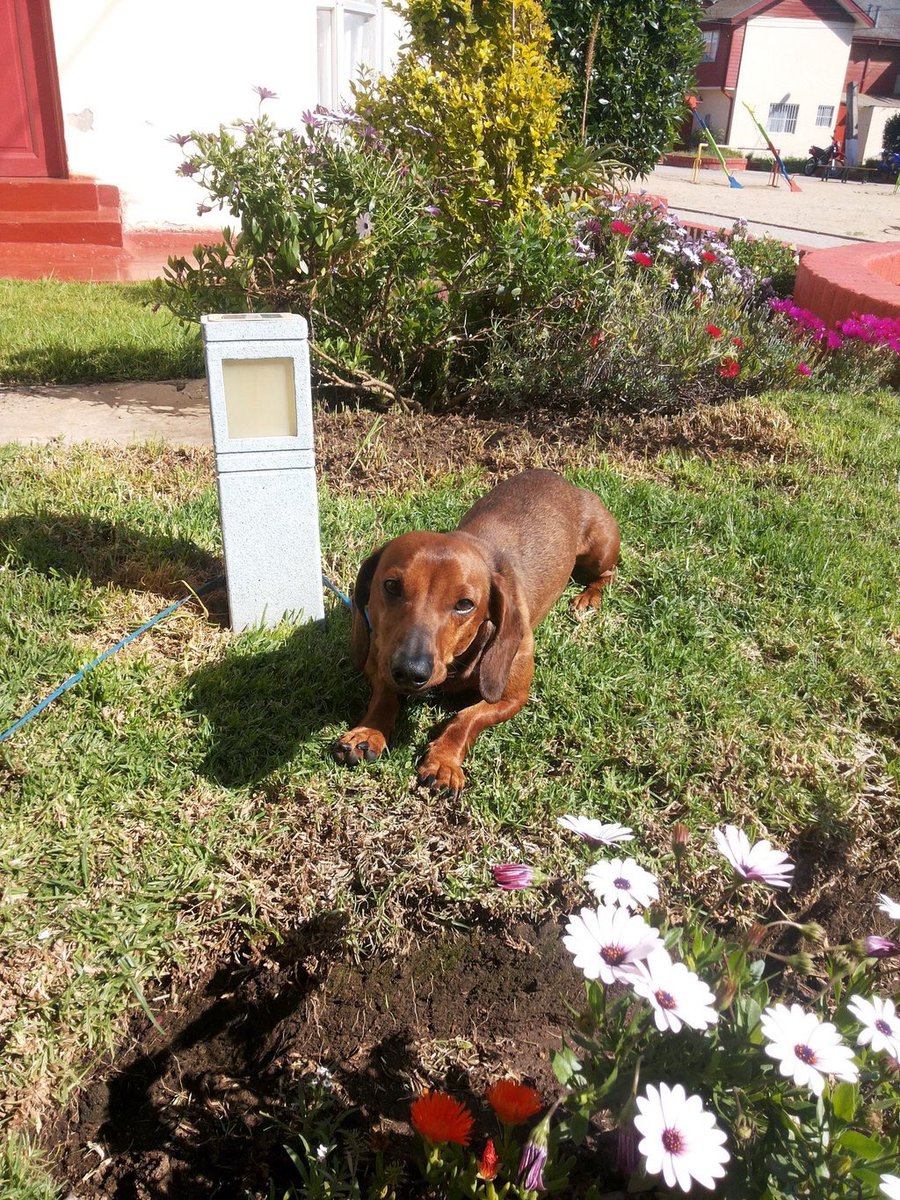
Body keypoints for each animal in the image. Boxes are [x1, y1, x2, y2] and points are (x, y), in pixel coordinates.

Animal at [331, 468, 619, 796]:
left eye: (465, 604)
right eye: (391, 586)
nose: (411, 671)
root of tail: (567, 482)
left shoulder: (512, 697)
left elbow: (466, 717)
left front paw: (443, 762)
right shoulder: (378, 659)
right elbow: (385, 695)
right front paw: (369, 732)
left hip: (600, 551)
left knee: (608, 573)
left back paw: (588, 597)